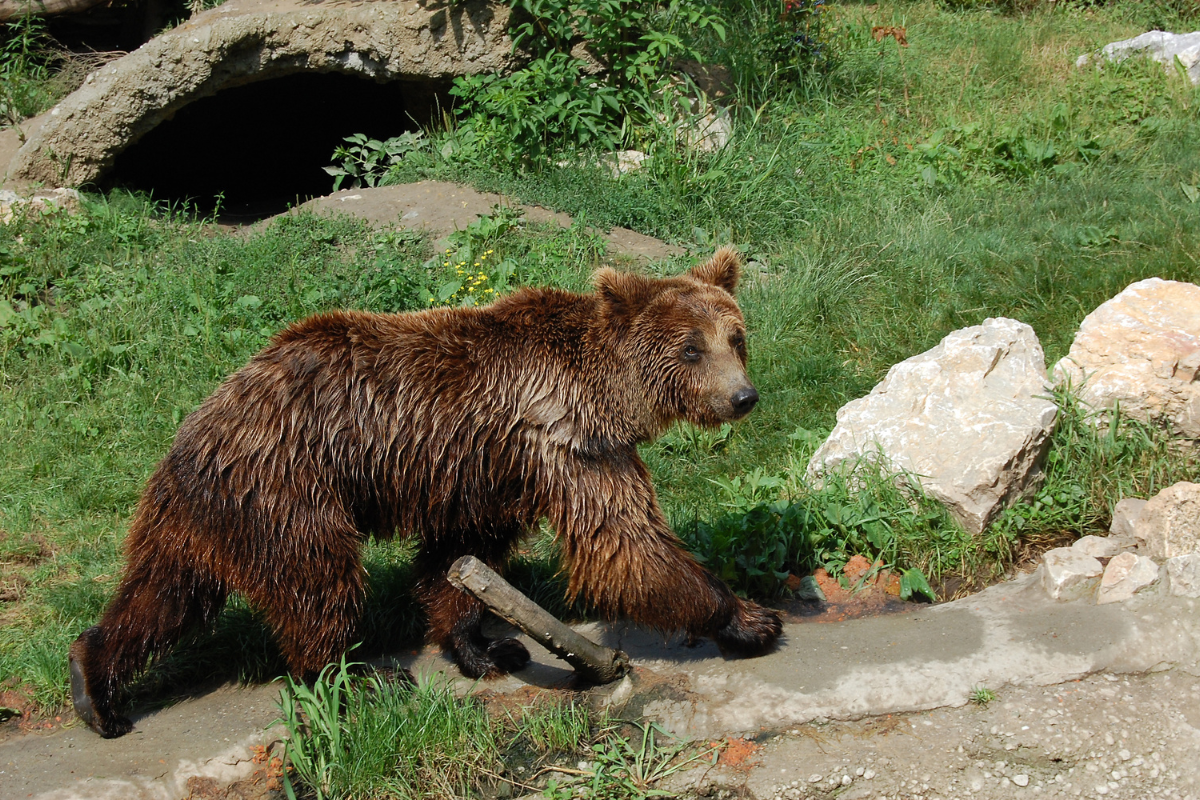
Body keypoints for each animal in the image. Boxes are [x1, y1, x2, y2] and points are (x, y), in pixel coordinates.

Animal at [68, 245, 777, 738]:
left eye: (736, 337)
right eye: (690, 349)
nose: (743, 396)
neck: (609, 394)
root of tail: (199, 429)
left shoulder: (491, 471)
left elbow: (458, 559)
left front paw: (486, 646)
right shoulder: (569, 442)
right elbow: (626, 542)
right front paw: (749, 617)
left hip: (201, 515)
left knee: (162, 598)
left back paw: (94, 686)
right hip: (292, 489)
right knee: (317, 586)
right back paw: (356, 678)